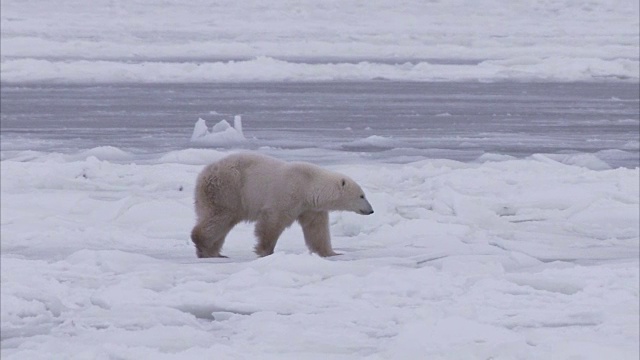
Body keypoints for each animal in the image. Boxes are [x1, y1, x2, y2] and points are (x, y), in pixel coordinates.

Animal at [189, 153, 376, 258]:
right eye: (362, 195)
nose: (371, 210)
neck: (309, 184)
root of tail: (203, 174)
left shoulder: (310, 207)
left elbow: (317, 230)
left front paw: (331, 252)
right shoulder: (288, 194)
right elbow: (272, 222)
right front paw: (265, 250)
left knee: (223, 222)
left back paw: (215, 252)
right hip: (227, 189)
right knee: (219, 217)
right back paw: (204, 246)